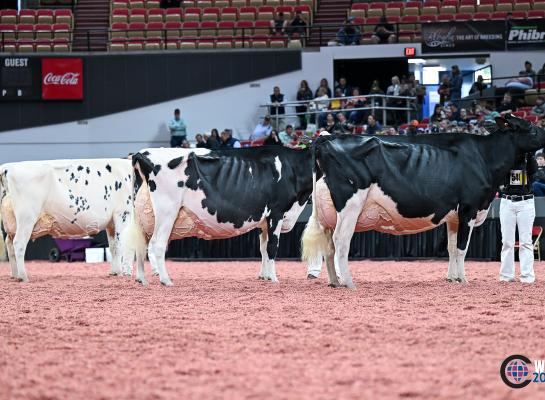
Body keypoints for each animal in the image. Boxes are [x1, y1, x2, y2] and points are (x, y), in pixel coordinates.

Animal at [0, 158, 134, 282]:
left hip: (12, 224)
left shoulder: (111, 224)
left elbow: (113, 246)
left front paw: (114, 272)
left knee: (9, 244)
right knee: (19, 243)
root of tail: (8, 167)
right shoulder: (123, 214)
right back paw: (23, 277)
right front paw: (122, 272)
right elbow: (121, 245)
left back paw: (15, 275)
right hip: (26, 218)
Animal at [125, 146, 312, 284]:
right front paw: (273, 278)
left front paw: (264, 276)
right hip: (167, 211)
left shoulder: (264, 221)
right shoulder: (277, 213)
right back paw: (166, 280)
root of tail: (142, 153)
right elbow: (272, 247)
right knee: (157, 243)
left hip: (143, 217)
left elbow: (263, 248)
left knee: (141, 244)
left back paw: (141, 279)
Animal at [302, 114, 544, 290]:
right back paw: (349, 283)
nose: (543, 133)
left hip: (328, 214)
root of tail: (326, 138)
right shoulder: (469, 209)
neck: (484, 156)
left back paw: (334, 282)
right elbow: (462, 248)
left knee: (329, 247)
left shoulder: (454, 217)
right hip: (350, 205)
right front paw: (463, 280)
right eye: (531, 128)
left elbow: (451, 247)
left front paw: (452, 278)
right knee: (341, 242)